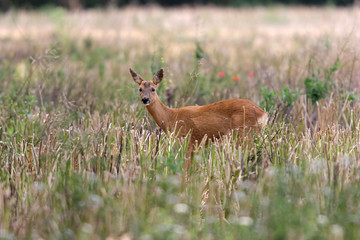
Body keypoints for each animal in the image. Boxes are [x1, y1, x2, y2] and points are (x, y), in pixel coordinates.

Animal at [129, 68, 268, 169]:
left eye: (153, 89)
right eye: (140, 89)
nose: (145, 99)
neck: (171, 117)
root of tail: (264, 113)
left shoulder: (187, 141)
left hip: (245, 134)